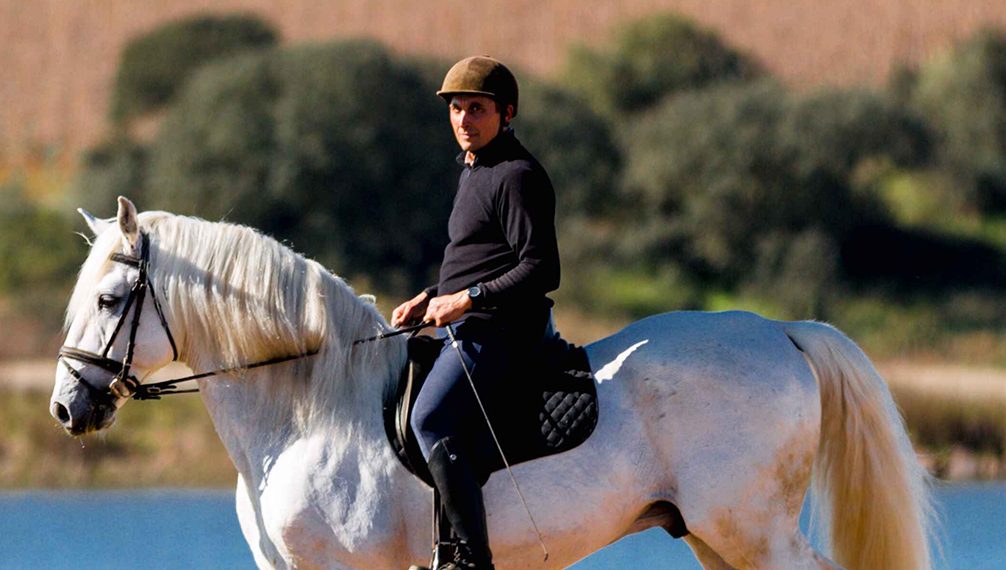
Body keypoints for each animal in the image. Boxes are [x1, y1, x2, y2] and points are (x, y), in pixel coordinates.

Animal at [51, 197, 933, 569]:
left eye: (110, 300)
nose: (67, 407)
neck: (308, 412)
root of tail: (780, 330)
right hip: (719, 537)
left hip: (751, 529)